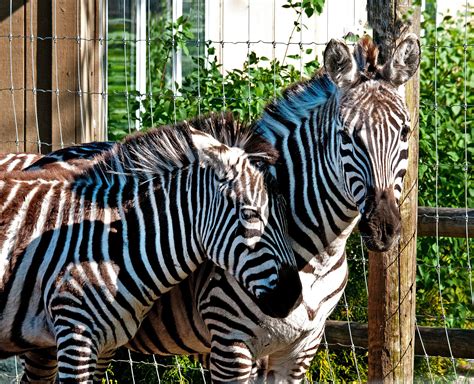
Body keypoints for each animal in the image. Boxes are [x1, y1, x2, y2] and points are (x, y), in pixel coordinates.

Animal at [0, 115, 302, 382]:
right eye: (250, 214)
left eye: (288, 212)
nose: (292, 296)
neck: (118, 244)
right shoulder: (75, 334)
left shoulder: (106, 343)